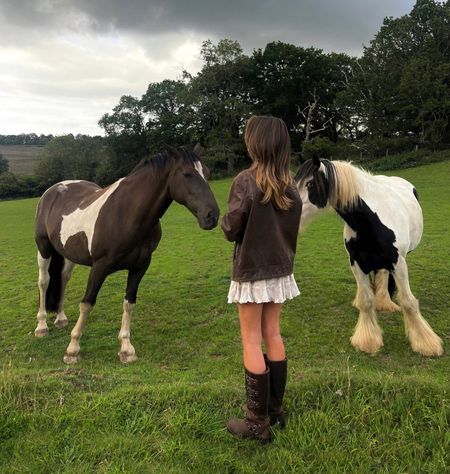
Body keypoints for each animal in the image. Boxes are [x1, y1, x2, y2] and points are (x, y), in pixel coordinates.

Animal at [35, 146, 220, 364]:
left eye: (207, 173)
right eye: (187, 174)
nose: (212, 215)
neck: (127, 214)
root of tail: (53, 190)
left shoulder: (140, 266)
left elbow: (129, 303)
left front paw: (126, 349)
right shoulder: (99, 267)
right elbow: (87, 303)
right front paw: (72, 349)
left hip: (69, 253)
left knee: (63, 278)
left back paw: (61, 318)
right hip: (44, 248)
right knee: (44, 281)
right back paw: (42, 327)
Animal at [296, 157, 442, 358]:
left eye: (310, 183)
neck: (371, 221)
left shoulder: (398, 263)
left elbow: (409, 302)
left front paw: (426, 344)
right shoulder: (357, 263)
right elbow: (366, 301)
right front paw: (368, 340)